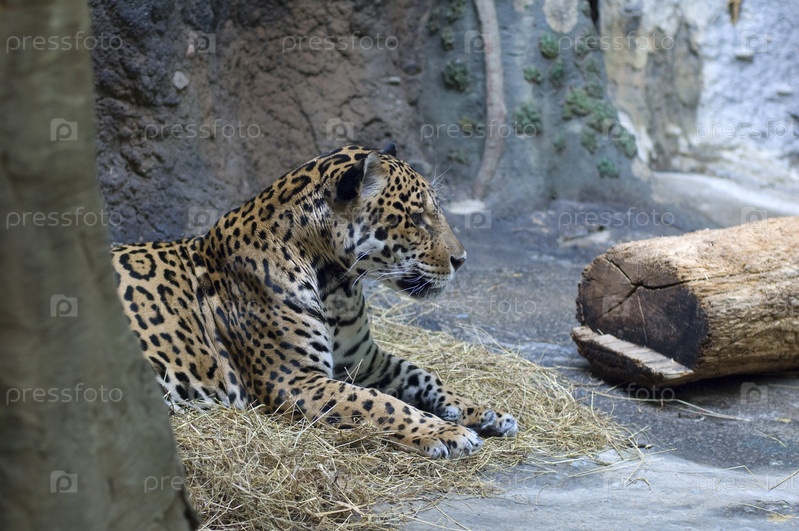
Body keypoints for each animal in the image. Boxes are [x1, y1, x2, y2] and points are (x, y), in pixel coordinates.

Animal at [111, 143, 518, 458]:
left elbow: (421, 374)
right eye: (417, 218)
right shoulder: (294, 379)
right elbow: (378, 402)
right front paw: (447, 432)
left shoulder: (364, 360)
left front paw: (482, 412)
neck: (338, 286)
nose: (461, 259)